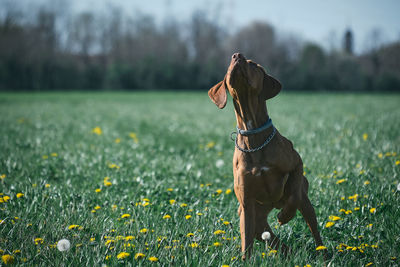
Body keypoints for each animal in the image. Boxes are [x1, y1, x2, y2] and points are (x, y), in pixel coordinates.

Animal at [208, 52, 324, 260]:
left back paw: (324, 255)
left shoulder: (296, 162)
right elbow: (246, 242)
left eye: (253, 64)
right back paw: (289, 252)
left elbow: (294, 192)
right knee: (271, 239)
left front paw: (285, 216)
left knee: (314, 230)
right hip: (256, 218)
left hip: (306, 204)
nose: (237, 55)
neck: (252, 135)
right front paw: (245, 261)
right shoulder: (246, 203)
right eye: (229, 64)